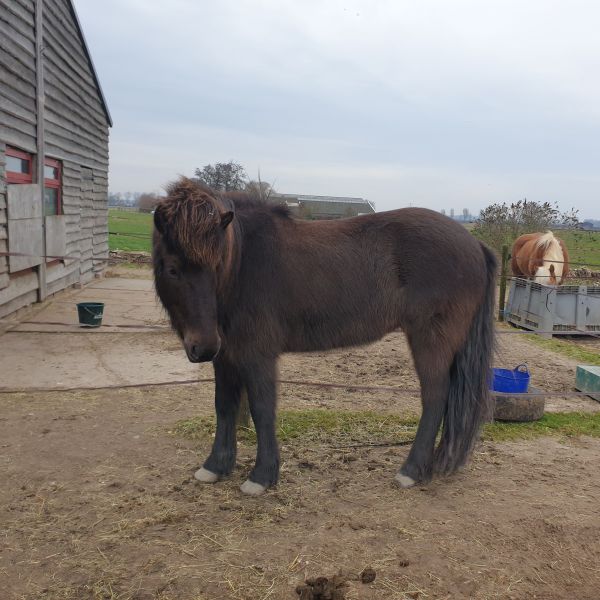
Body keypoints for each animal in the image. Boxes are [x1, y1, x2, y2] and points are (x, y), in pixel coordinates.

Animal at [154, 179, 496, 496]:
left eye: (216, 265)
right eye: (172, 269)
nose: (202, 346)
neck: (242, 264)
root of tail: (475, 244)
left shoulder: (257, 355)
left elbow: (262, 409)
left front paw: (261, 477)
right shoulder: (226, 357)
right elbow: (224, 406)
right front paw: (215, 466)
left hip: (430, 340)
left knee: (435, 397)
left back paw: (410, 471)